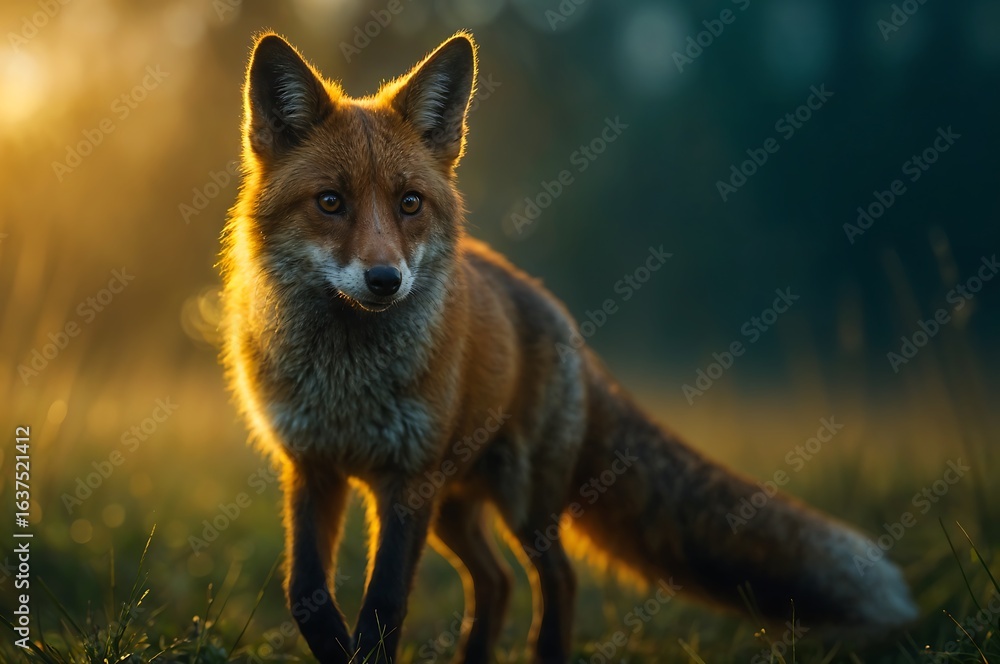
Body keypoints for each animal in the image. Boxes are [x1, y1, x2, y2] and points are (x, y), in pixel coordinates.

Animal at [220, 30, 918, 664]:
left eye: (409, 203)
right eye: (330, 202)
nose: (386, 279)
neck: (346, 382)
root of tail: (562, 319)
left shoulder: (406, 478)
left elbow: (385, 605)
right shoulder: (311, 466)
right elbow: (304, 593)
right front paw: (336, 647)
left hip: (522, 500)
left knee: (554, 578)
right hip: (457, 505)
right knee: (496, 582)